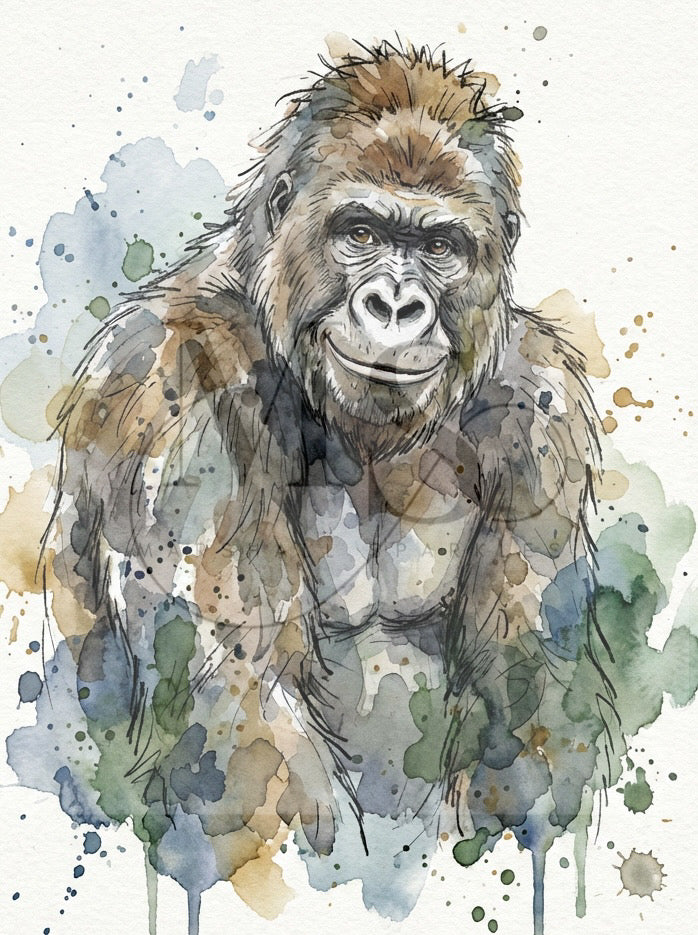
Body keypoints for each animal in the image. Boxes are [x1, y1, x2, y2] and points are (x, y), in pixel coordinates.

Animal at [41, 39, 610, 933]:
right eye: (361, 232)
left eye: (439, 247)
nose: (396, 305)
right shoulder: (173, 380)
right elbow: (245, 729)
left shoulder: (542, 406)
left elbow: (535, 712)